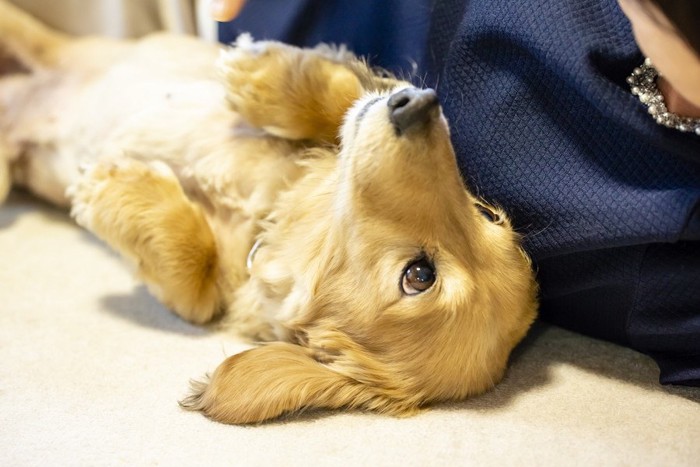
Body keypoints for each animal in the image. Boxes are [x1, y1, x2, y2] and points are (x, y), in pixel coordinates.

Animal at [0, 0, 540, 424]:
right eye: (489, 216)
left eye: (420, 275)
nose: (420, 103)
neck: (268, 220)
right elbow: (344, 95)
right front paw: (258, 72)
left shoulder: (204, 296)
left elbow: (194, 283)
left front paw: (113, 183)